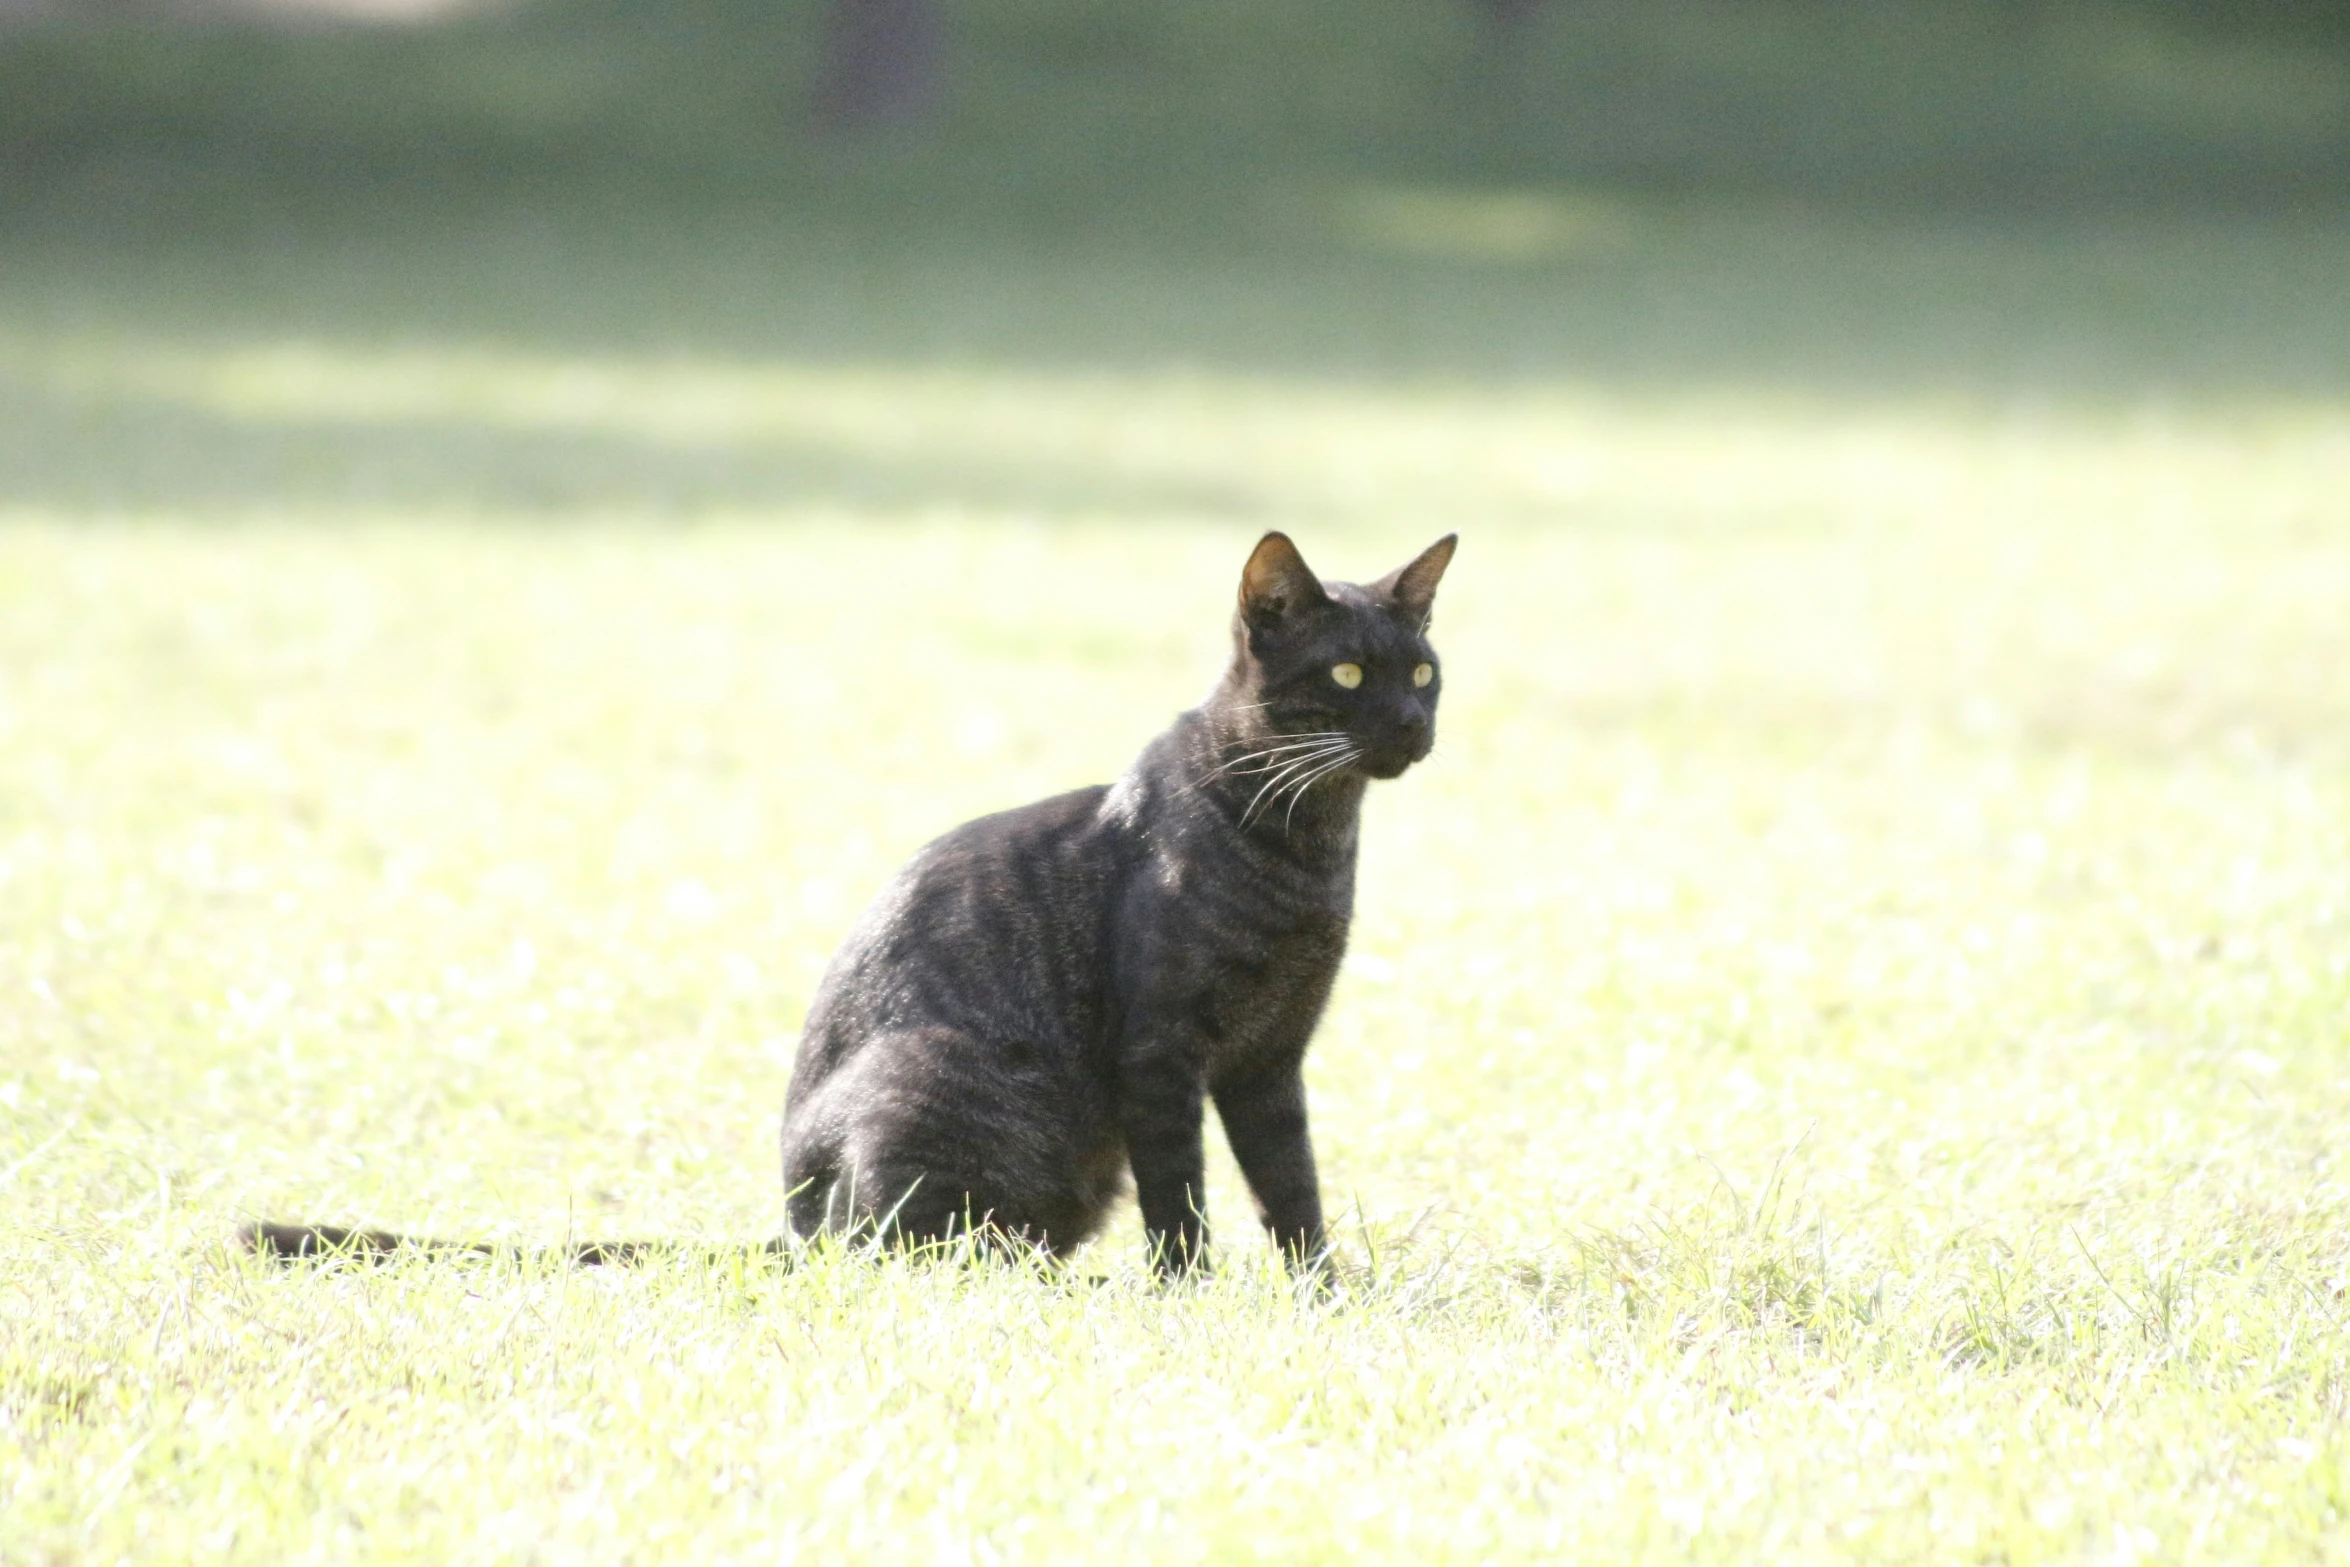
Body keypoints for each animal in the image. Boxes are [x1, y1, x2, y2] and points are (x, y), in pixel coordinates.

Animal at [238, 533, 1447, 1278]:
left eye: (1424, 670)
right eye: (1347, 676)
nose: (1411, 724)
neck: (1306, 844)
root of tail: (789, 1228)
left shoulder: (1271, 1057)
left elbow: (1292, 1188)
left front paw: (1320, 1293)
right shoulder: (1162, 1053)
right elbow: (1183, 1198)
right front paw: (1189, 1295)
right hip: (944, 1077)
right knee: (909, 1252)